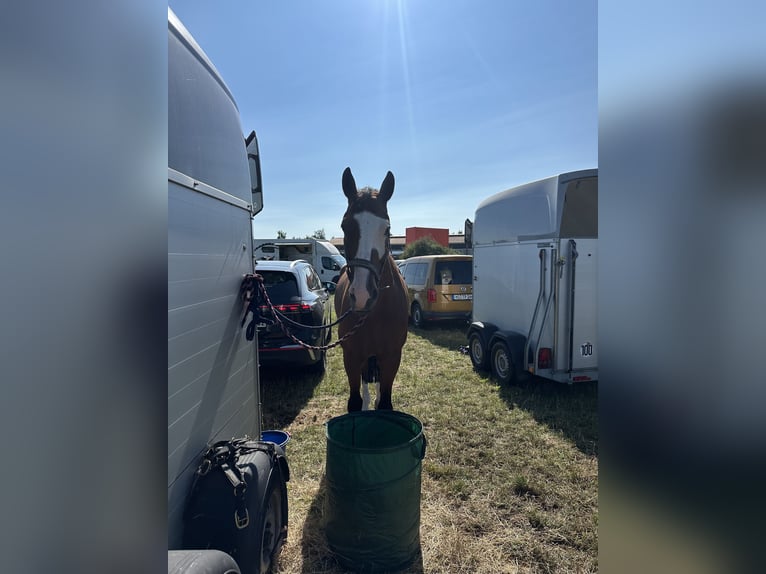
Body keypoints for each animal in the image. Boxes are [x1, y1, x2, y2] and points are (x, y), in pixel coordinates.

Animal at [334, 168, 412, 414]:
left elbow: (385, 402)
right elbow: (355, 402)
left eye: (387, 229)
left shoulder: (392, 357)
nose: (362, 295)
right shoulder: (351, 356)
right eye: (345, 226)